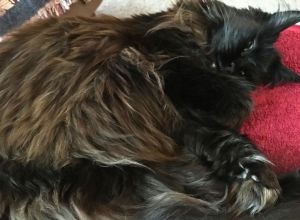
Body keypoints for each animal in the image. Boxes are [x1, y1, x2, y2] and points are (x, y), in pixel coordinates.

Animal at [0, 0, 300, 219]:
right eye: (248, 45)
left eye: (246, 71)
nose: (228, 66)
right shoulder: (167, 67)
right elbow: (231, 108)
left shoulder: (184, 119)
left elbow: (224, 139)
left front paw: (254, 175)